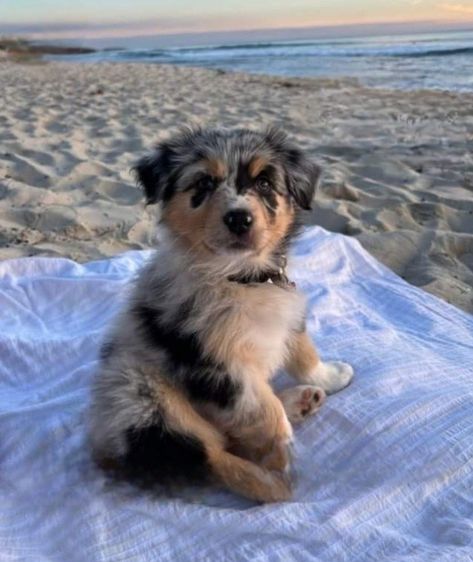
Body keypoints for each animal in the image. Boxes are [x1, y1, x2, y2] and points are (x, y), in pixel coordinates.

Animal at [90, 128, 352, 504]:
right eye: (204, 182)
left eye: (265, 184)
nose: (239, 218)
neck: (239, 278)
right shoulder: (212, 362)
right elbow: (265, 409)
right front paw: (283, 449)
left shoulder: (286, 313)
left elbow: (303, 352)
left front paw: (329, 377)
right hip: (140, 396)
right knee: (211, 453)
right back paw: (277, 479)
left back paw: (301, 401)